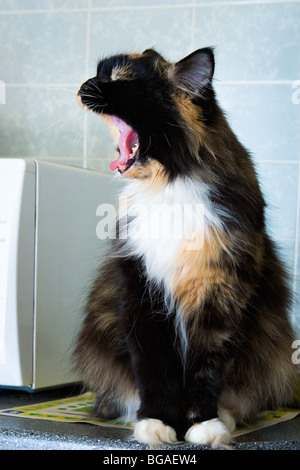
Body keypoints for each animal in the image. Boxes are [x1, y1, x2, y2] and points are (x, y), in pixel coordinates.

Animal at [73, 47, 298, 448]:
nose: (83, 84)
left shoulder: (220, 294)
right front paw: (158, 424)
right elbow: (153, 370)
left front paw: (203, 425)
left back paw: (225, 418)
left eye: (121, 77)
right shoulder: (141, 291)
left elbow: (206, 370)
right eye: (98, 73)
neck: (168, 184)